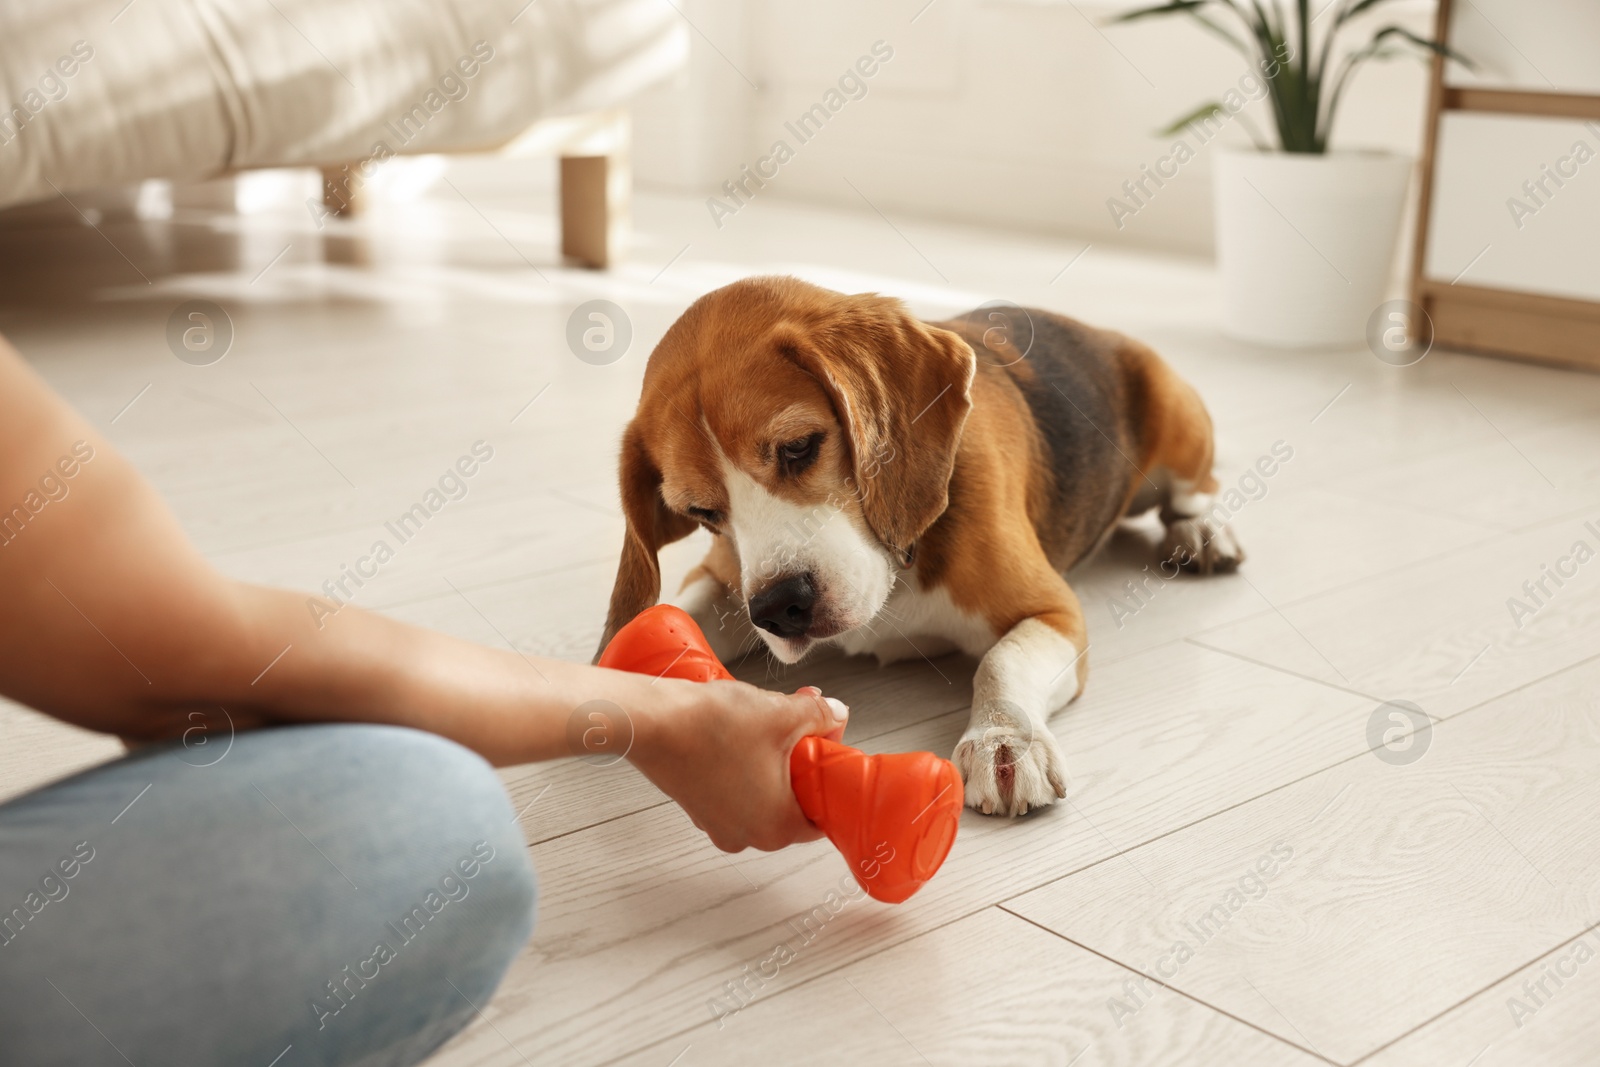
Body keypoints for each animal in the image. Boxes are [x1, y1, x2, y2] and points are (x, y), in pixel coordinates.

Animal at [598, 275, 1235, 819]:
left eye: (799, 447)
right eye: (701, 512)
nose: (780, 608)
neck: (897, 570)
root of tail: (1098, 331)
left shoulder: (1054, 611)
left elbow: (1002, 660)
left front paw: (1004, 741)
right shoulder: (725, 580)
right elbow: (675, 613)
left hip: (1179, 432)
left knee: (1196, 492)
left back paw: (1202, 533)